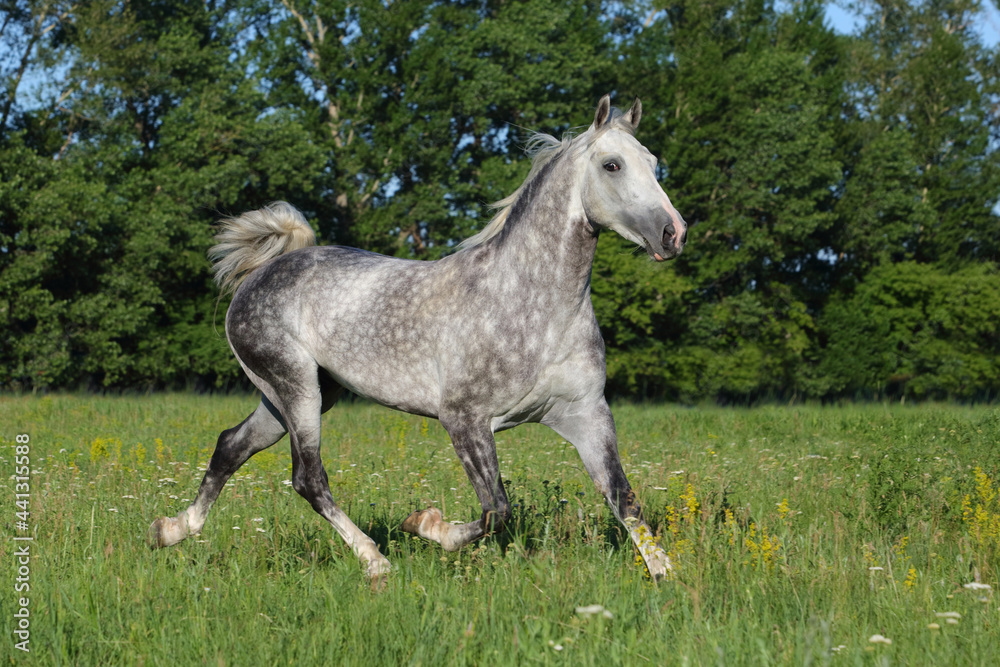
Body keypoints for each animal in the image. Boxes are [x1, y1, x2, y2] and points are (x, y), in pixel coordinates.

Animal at [148, 94, 687, 584]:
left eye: (655, 162)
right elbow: (496, 510)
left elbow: (624, 499)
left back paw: (170, 530)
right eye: (612, 164)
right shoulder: (466, 420)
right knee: (308, 478)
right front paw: (424, 525)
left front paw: (665, 577)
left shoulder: (586, 415)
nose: (673, 233)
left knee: (231, 446)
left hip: (293, 396)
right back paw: (374, 560)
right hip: (296, 388)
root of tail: (262, 272)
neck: (534, 306)